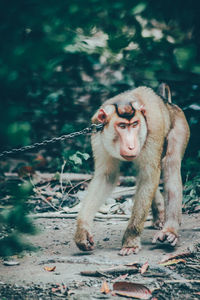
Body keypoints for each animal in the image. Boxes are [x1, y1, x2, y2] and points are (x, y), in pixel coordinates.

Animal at [74, 84, 190, 255]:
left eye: (134, 124)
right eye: (122, 126)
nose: (131, 145)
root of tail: (167, 102)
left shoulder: (154, 128)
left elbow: (149, 176)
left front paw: (131, 240)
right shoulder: (97, 133)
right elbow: (106, 176)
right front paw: (82, 230)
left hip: (180, 123)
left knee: (171, 162)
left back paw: (170, 229)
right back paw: (159, 215)